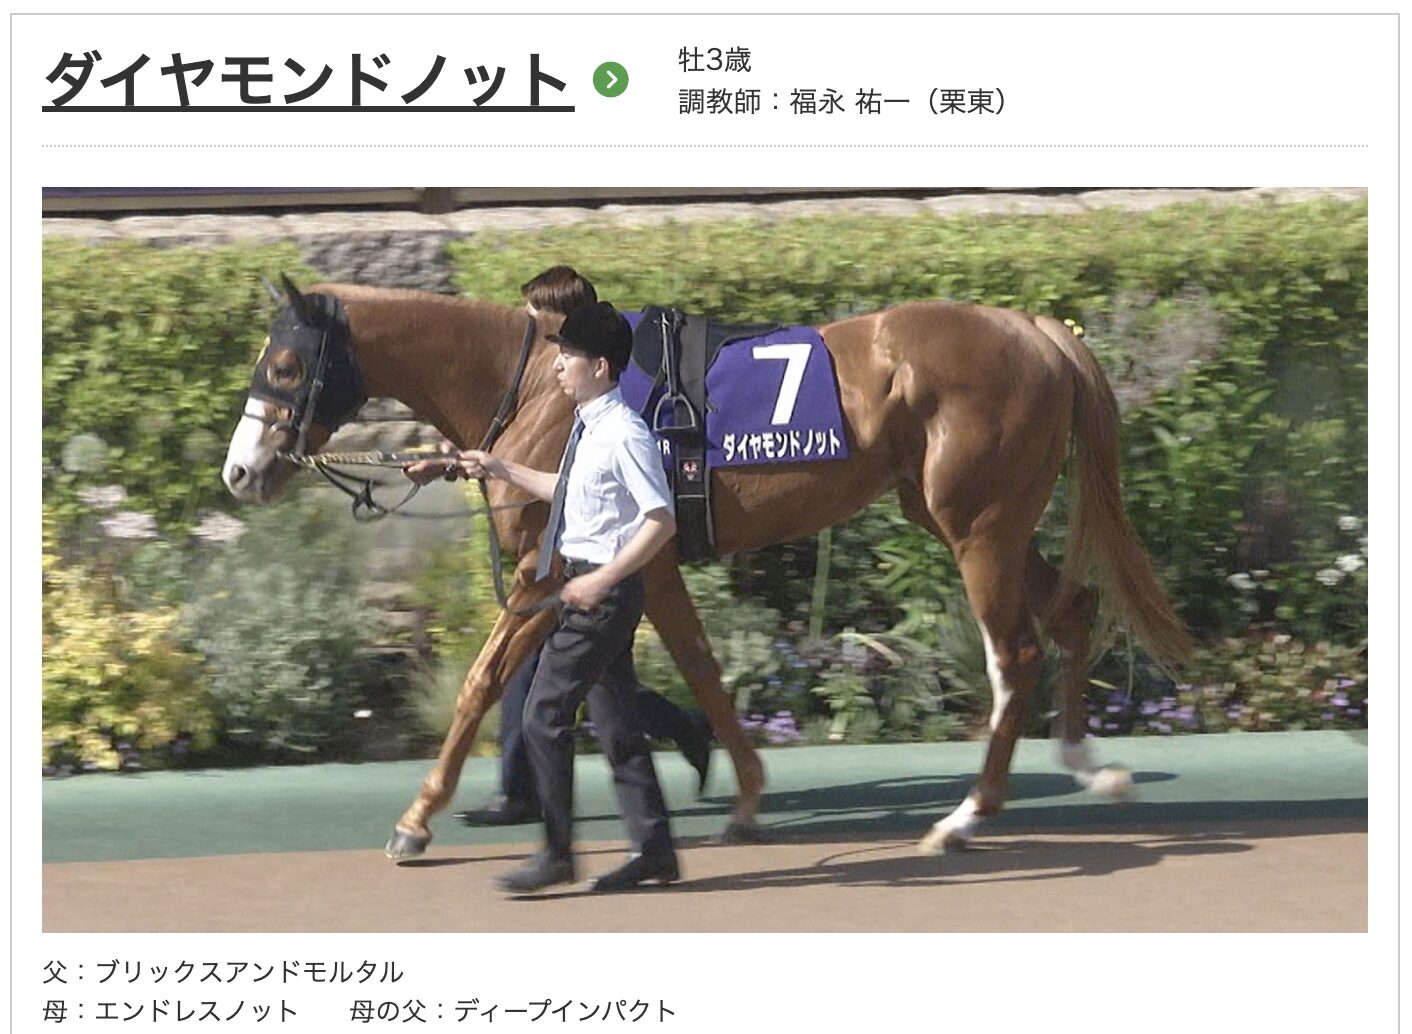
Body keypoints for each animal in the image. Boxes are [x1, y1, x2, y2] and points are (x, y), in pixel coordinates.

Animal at [222, 278, 1191, 862]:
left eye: (285, 363)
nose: (239, 470)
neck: (540, 386)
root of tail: (1038, 329)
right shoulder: (643, 567)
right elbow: (698, 666)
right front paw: (744, 795)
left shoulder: (549, 566)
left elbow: (482, 681)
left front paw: (416, 820)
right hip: (973, 515)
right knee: (1075, 612)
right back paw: (1090, 765)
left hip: (977, 525)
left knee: (1014, 656)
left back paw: (964, 818)